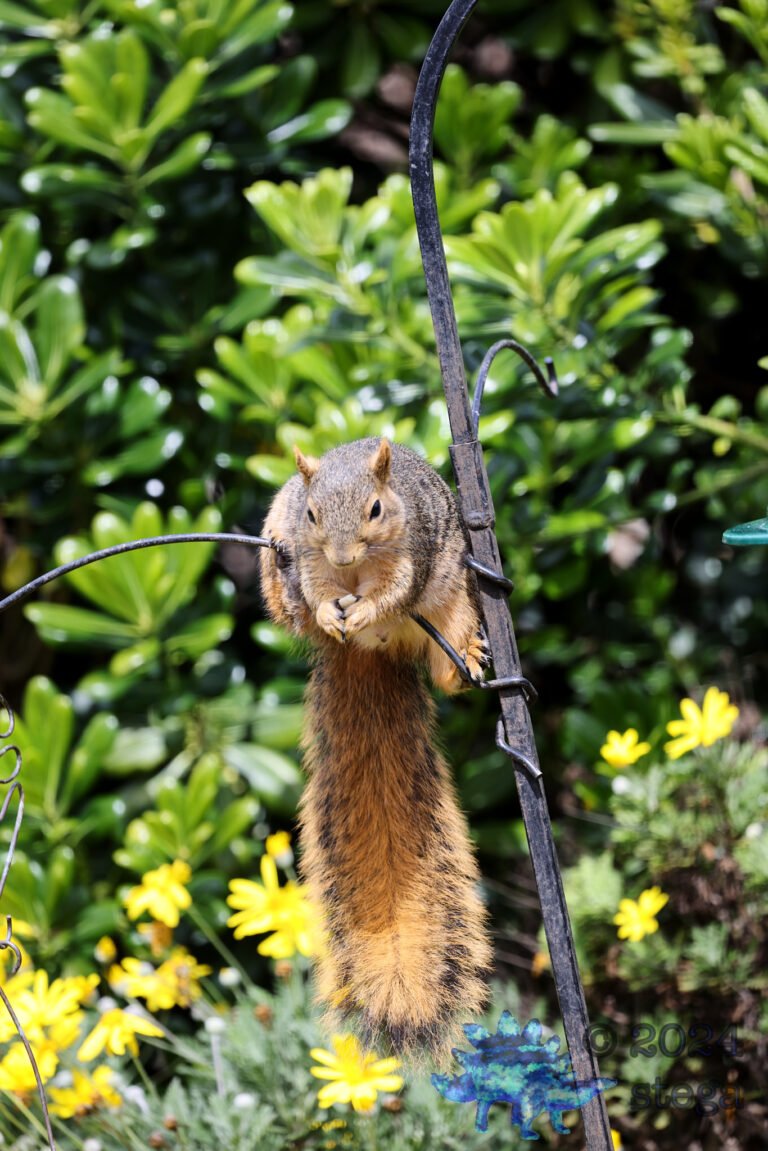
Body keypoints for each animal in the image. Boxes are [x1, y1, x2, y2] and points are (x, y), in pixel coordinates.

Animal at [258, 436, 493, 1063]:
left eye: (376, 510)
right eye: (312, 513)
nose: (342, 558)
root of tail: (372, 653)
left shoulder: (411, 554)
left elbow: (394, 590)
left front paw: (364, 606)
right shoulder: (311, 556)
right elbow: (316, 590)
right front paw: (326, 607)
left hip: (451, 604)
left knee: (445, 659)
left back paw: (466, 665)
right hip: (279, 574)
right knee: (286, 603)